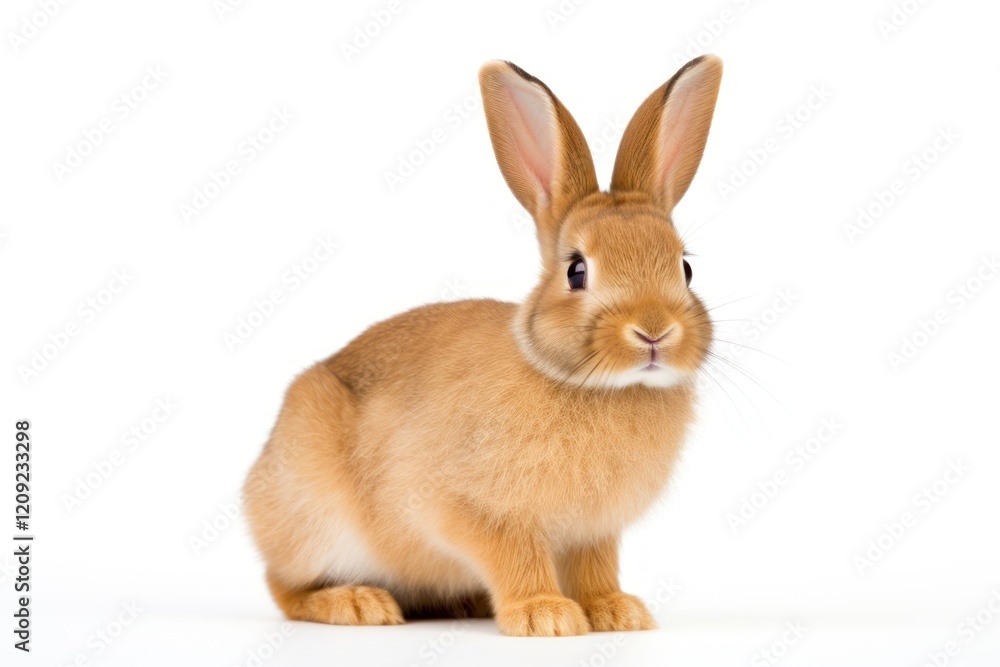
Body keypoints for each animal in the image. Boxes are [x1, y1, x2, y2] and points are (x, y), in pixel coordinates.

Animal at [243, 54, 723, 637]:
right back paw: (359, 604)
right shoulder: (474, 511)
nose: (654, 330)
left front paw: (616, 612)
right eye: (577, 270)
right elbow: (514, 554)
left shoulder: (593, 532)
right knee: (284, 587)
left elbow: (596, 568)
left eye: (685, 268)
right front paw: (545, 615)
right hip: (314, 516)